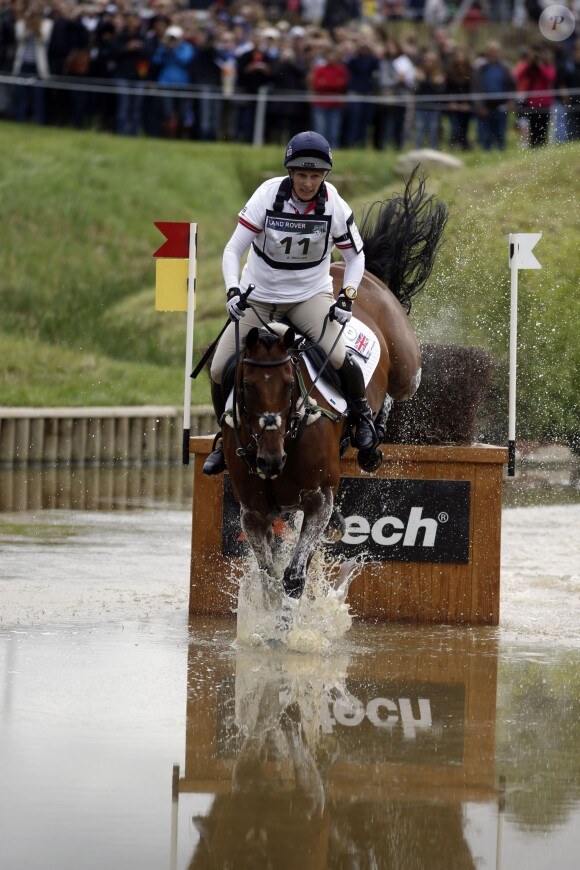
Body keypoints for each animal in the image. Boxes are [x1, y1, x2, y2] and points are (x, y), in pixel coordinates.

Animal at [220, 170, 446, 608]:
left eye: (289, 385)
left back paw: (370, 436)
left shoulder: (318, 499)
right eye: (246, 386)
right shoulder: (254, 512)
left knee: (387, 385)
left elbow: (293, 577)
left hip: (406, 367)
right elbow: (270, 580)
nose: (270, 460)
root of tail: (359, 275)